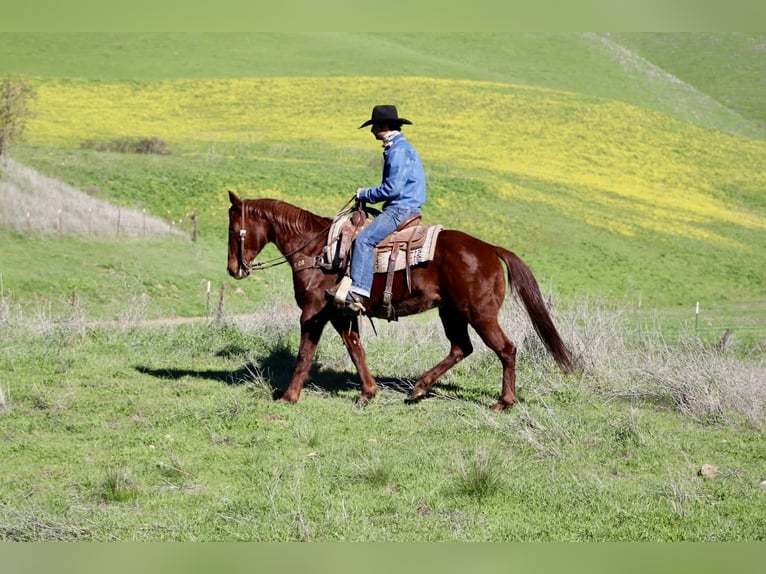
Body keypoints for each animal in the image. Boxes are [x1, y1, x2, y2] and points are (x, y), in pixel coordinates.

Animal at [227, 192, 575, 411]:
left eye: (233, 230)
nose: (233, 269)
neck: (317, 252)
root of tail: (490, 249)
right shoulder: (342, 314)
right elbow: (356, 349)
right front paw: (368, 393)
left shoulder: (313, 313)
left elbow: (304, 355)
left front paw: (288, 397)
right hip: (452, 313)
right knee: (461, 348)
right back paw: (418, 388)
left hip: (480, 315)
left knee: (506, 350)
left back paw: (503, 402)